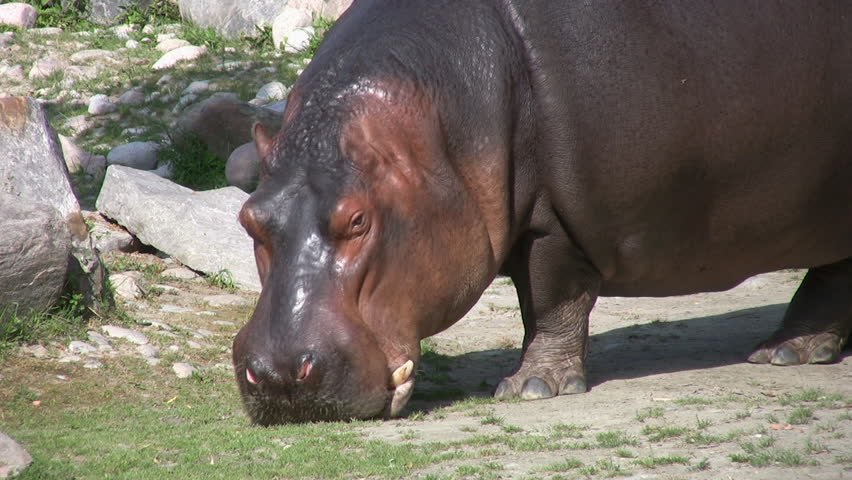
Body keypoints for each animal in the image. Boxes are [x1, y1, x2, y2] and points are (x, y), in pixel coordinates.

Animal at [232, 0, 852, 424]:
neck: (438, 129)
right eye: (249, 218)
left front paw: (531, 387)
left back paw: (786, 353)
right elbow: (539, 305)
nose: (279, 374)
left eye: (358, 220)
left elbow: (552, 298)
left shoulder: (553, 224)